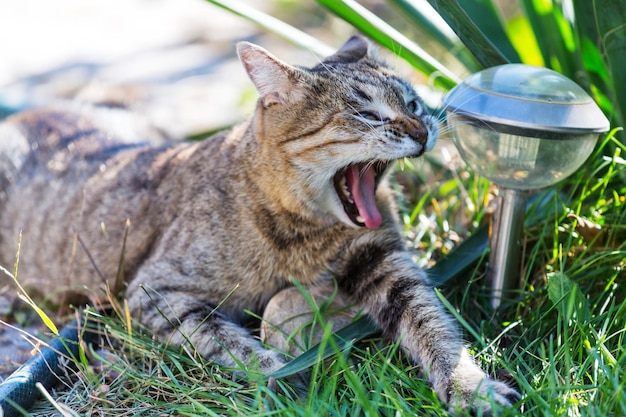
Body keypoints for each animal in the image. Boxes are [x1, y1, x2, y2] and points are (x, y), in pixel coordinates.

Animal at [0, 36, 516, 412]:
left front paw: (471, 387)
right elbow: (232, 341)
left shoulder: (386, 262)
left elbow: (433, 327)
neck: (304, 228)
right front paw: (280, 375)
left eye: (413, 103)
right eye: (368, 114)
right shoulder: (154, 292)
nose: (424, 129)